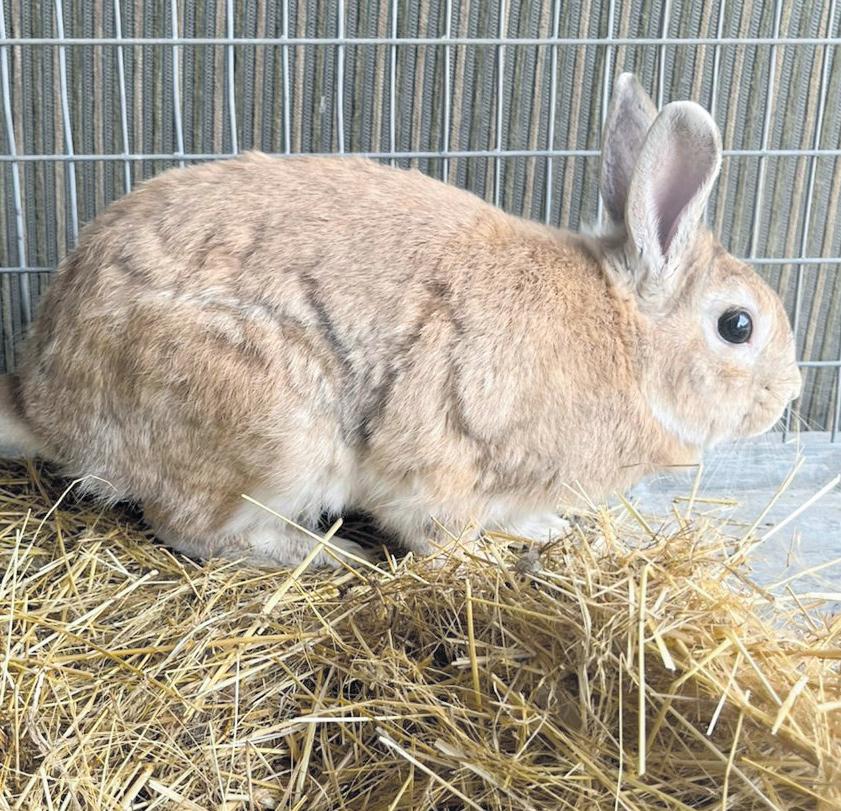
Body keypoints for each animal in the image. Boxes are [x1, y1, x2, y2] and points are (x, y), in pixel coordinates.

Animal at [0, 73, 801, 568]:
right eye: (737, 326)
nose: (788, 395)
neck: (629, 343)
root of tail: (43, 398)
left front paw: (544, 526)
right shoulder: (443, 467)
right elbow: (438, 530)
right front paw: (490, 555)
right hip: (275, 431)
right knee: (191, 529)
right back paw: (325, 554)